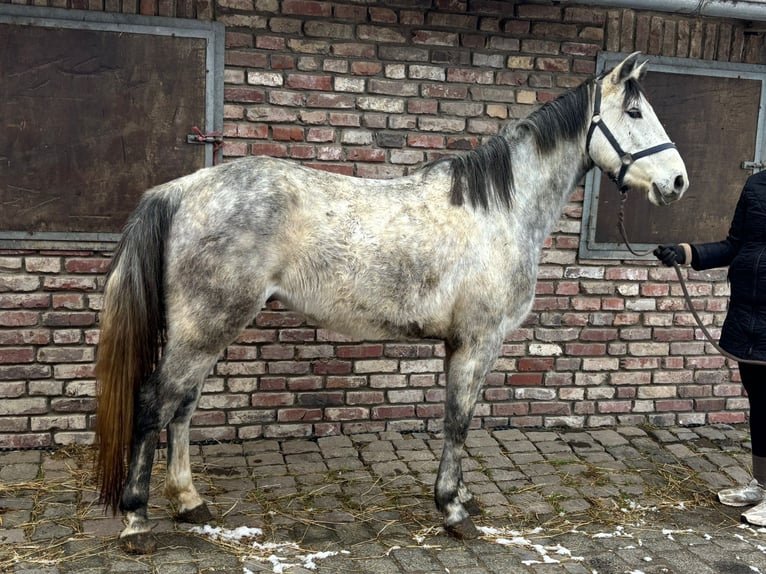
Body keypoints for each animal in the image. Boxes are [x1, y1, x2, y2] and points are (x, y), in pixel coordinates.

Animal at [94, 52, 688, 553]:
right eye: (634, 110)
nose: (678, 182)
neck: (500, 209)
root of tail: (183, 189)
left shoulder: (464, 345)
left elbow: (460, 419)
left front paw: (461, 498)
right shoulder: (478, 342)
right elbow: (458, 422)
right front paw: (453, 511)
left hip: (207, 327)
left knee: (183, 406)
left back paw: (189, 502)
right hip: (206, 325)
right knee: (154, 403)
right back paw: (137, 521)